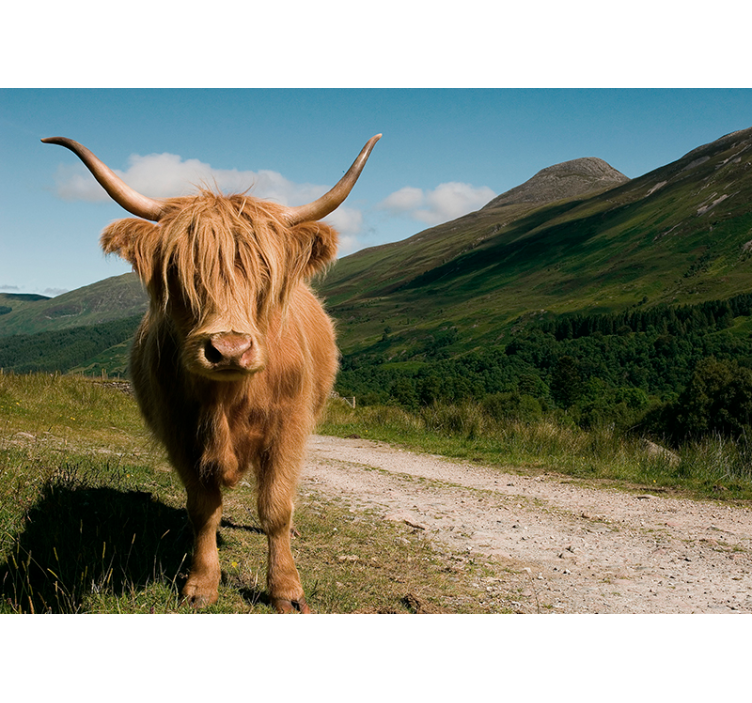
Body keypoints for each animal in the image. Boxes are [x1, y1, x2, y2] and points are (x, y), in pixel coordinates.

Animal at [43, 134, 380, 612]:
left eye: (266, 273)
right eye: (180, 271)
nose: (229, 350)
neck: (228, 401)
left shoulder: (289, 427)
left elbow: (276, 507)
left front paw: (287, 590)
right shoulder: (178, 431)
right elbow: (203, 508)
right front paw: (201, 583)